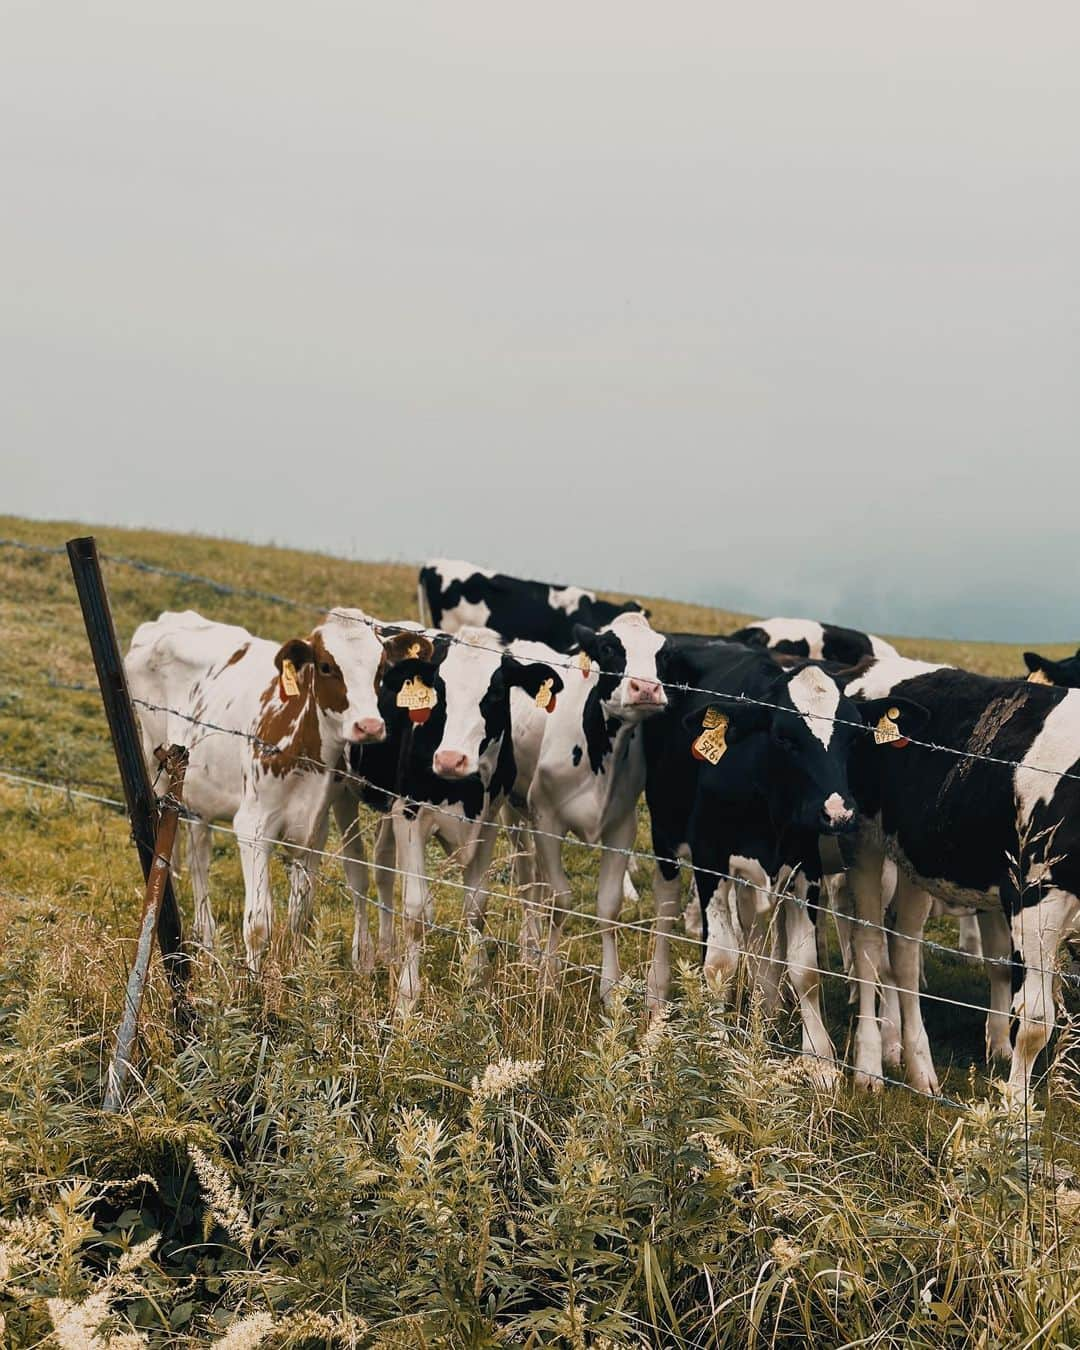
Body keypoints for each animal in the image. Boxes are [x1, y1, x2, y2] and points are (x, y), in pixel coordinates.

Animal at [345, 626, 564, 1009]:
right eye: (438, 690)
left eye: (495, 693)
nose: (450, 759)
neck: (466, 788)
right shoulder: (410, 814)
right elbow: (417, 911)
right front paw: (407, 997)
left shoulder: (488, 821)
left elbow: (476, 907)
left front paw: (476, 982)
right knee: (355, 874)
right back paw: (363, 957)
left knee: (383, 866)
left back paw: (387, 950)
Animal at [645, 637, 923, 1080]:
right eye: (784, 737)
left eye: (852, 737)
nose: (838, 812)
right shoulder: (709, 857)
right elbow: (719, 961)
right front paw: (715, 1041)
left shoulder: (804, 866)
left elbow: (805, 967)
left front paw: (819, 1060)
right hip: (665, 831)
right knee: (666, 908)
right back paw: (657, 1000)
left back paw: (765, 1007)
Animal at [842, 658, 1080, 1101]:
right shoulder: (1035, 893)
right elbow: (1036, 1021)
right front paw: (1015, 1106)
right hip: (862, 840)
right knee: (867, 944)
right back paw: (869, 1068)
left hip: (914, 858)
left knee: (903, 950)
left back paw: (914, 1064)